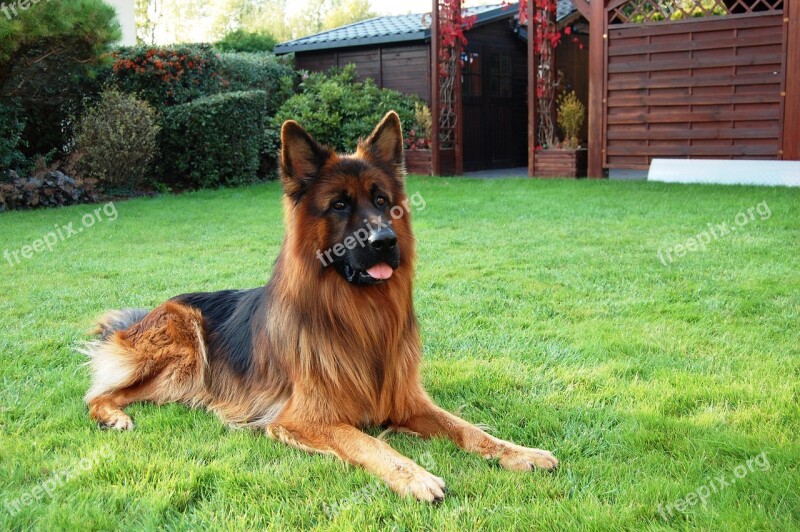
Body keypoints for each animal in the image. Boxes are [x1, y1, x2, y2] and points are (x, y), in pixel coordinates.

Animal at [83, 110, 556, 500]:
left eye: (381, 201)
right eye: (340, 205)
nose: (385, 241)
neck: (360, 316)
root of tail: (144, 315)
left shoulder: (407, 400)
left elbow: (468, 429)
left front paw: (520, 452)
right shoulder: (302, 419)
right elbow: (367, 440)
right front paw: (415, 476)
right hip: (183, 357)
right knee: (100, 393)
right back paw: (112, 416)